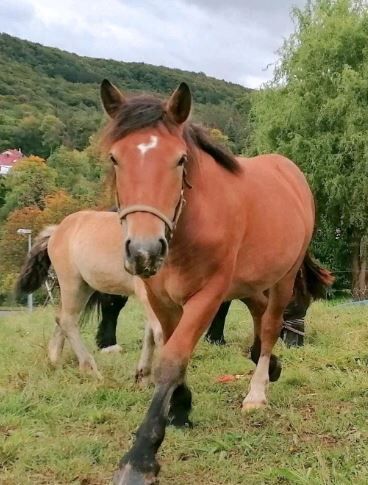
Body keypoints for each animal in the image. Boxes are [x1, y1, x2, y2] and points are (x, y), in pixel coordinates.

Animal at [98, 80, 334, 484]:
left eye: (180, 160)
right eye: (115, 159)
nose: (144, 251)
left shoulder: (207, 296)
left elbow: (173, 358)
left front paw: (141, 457)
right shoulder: (161, 297)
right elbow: (170, 349)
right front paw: (180, 407)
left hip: (283, 279)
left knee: (270, 325)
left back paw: (257, 391)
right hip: (250, 281)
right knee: (259, 314)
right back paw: (269, 366)